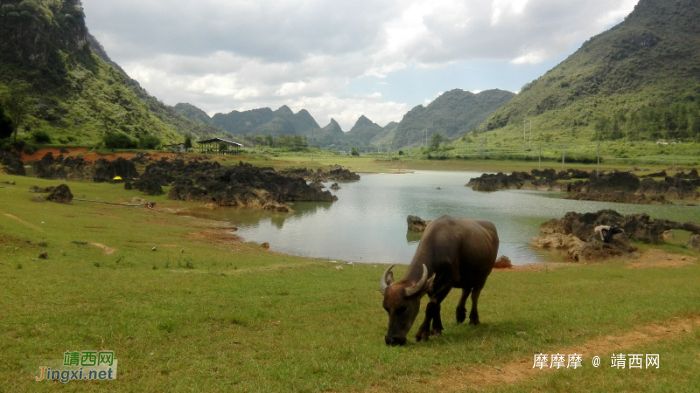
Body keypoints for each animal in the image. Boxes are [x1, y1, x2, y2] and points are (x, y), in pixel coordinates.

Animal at [382, 216, 498, 344]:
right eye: (386, 308)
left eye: (403, 308)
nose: (391, 340)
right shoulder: (431, 285)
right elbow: (436, 305)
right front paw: (436, 329)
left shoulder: (447, 282)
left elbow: (431, 306)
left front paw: (422, 334)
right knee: (466, 290)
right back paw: (460, 314)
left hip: (483, 276)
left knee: (474, 296)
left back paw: (474, 319)